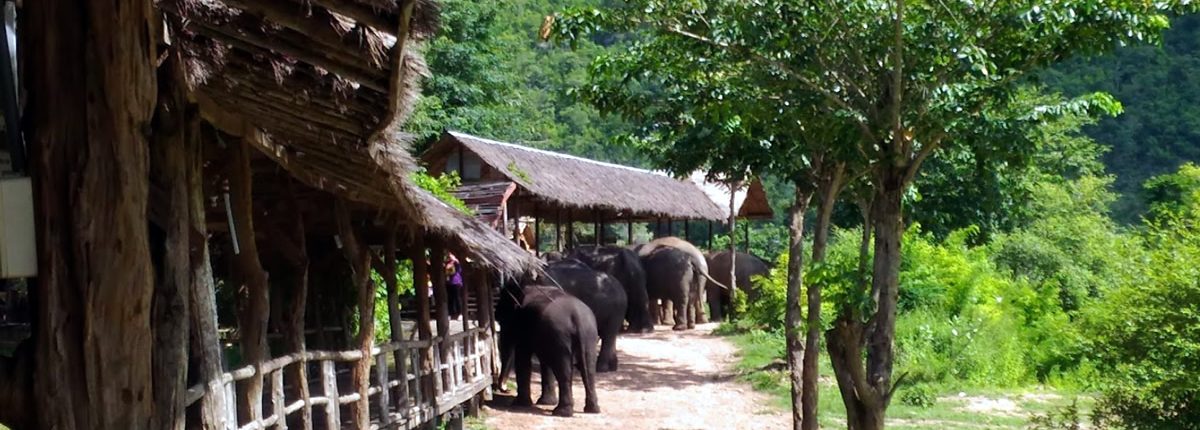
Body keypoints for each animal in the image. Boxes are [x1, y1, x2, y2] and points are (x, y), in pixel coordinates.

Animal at [494, 281, 597, 415]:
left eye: (502, 320)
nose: (505, 389)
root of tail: (577, 318)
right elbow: (544, 361)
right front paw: (545, 402)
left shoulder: (525, 325)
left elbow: (523, 358)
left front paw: (519, 404)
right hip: (588, 335)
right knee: (589, 370)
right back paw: (592, 410)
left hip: (560, 335)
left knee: (563, 371)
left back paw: (562, 412)